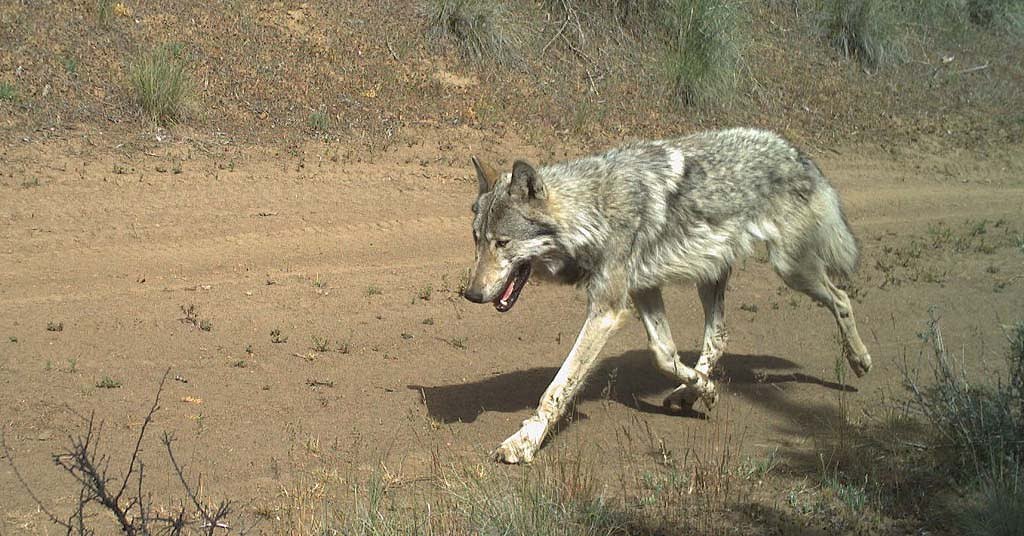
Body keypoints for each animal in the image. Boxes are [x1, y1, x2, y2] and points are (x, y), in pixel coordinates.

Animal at [463, 128, 872, 464]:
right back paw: (688, 395)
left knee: (841, 297)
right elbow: (664, 354)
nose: (471, 294)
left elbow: (558, 387)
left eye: (503, 243)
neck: (594, 212)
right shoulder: (643, 290)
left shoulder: (607, 310)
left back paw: (859, 360)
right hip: (713, 276)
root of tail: (795, 151)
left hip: (792, 269)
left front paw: (523, 442)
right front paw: (704, 390)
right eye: (476, 239)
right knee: (719, 338)